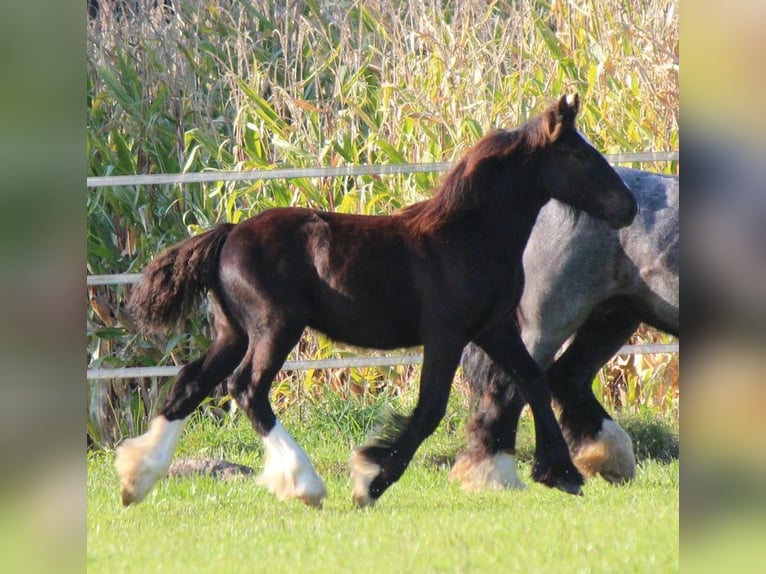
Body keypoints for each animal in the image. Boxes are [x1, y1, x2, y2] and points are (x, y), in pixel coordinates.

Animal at [117, 94, 640, 508]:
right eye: (575, 151)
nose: (629, 206)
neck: (468, 236)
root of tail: (228, 234)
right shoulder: (446, 335)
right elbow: (430, 408)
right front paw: (371, 480)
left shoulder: (493, 329)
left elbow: (531, 379)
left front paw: (563, 473)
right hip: (274, 327)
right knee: (246, 388)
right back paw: (306, 485)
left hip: (233, 331)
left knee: (191, 383)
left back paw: (135, 480)